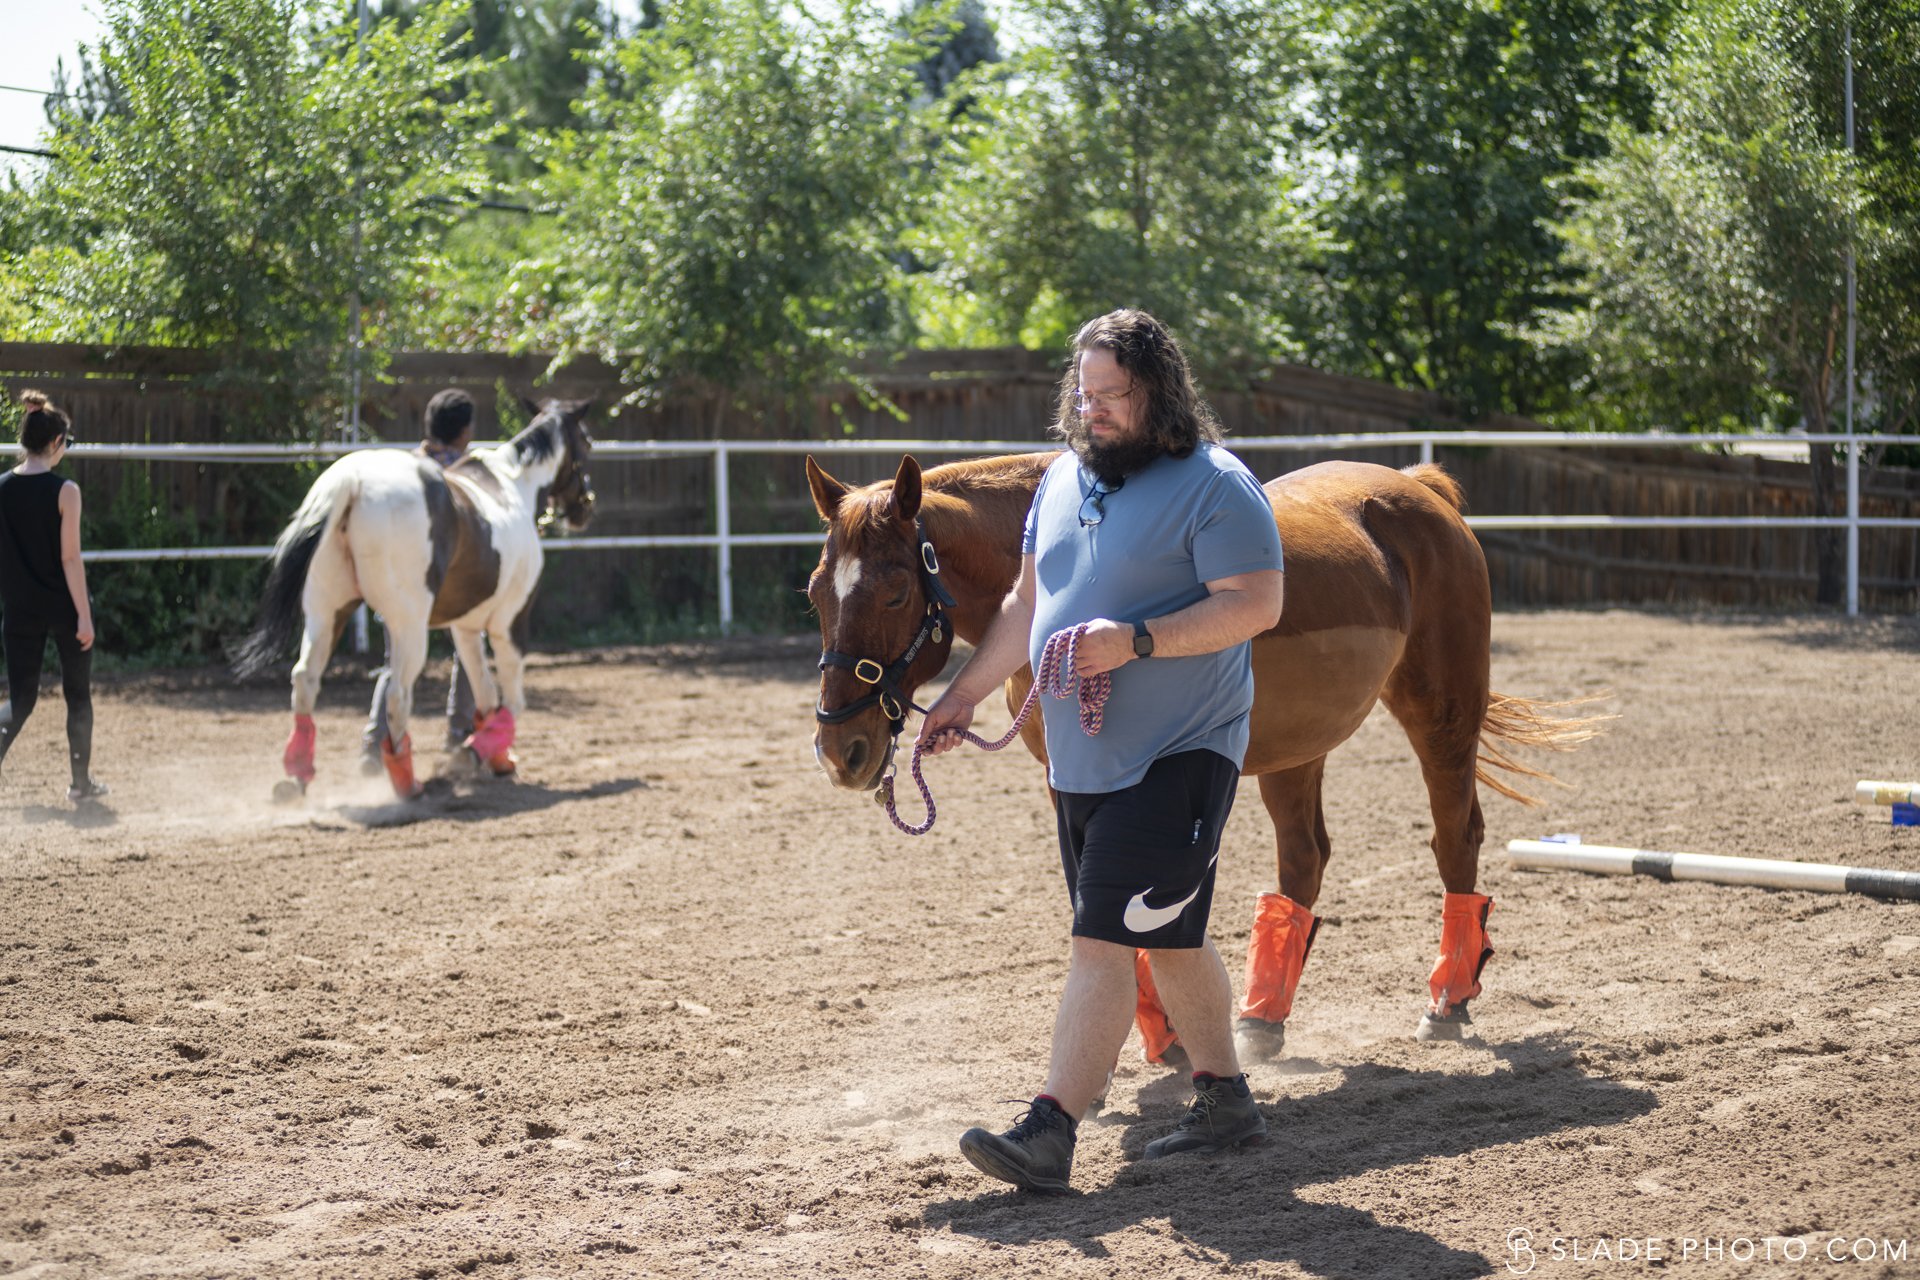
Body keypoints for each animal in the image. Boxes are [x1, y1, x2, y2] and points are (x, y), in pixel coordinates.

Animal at [234, 399, 596, 800]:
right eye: (587, 442)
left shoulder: (466, 628)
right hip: (409, 627)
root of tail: (353, 481)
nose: (584, 507)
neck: (514, 485)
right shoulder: (510, 623)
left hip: (326, 611)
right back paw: (407, 783)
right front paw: (475, 754)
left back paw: (297, 776)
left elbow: (484, 694)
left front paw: (497, 759)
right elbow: (512, 701)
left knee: (306, 679)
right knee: (396, 694)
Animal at [804, 450, 1599, 1064]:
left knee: (1455, 838)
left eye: (897, 591)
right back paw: (1262, 1021)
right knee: (1304, 858)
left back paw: (1448, 1002)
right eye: (815, 593)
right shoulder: (1069, 780)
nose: (842, 748)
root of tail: (1421, 490)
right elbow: (1096, 899)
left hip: (1441, 712)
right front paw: (1161, 1040)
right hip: (1299, 746)